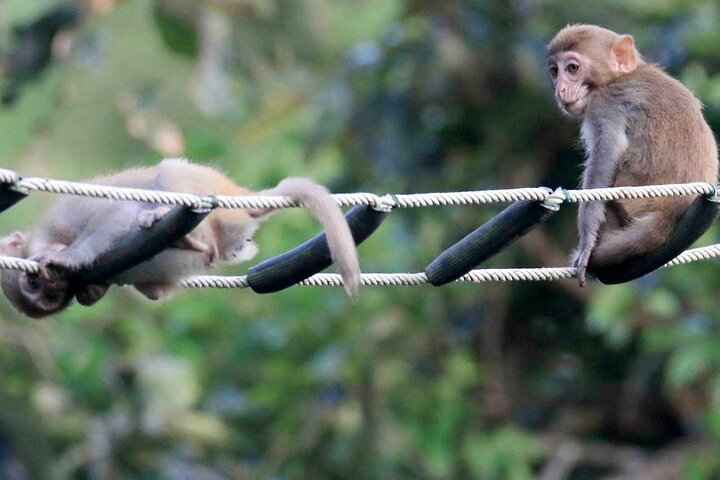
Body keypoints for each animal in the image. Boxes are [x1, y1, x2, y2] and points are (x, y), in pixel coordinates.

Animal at [0, 159, 361, 318]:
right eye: (47, 296)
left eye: (36, 284)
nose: (53, 285)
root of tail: (241, 200)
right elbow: (152, 292)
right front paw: (91, 291)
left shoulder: (63, 216)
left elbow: (116, 214)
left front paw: (67, 258)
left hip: (207, 191)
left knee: (169, 171)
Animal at [546, 25, 718, 286]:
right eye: (555, 71)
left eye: (572, 68)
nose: (560, 89)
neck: (617, 77)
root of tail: (674, 209)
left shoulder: (604, 104)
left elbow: (608, 151)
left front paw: (587, 242)